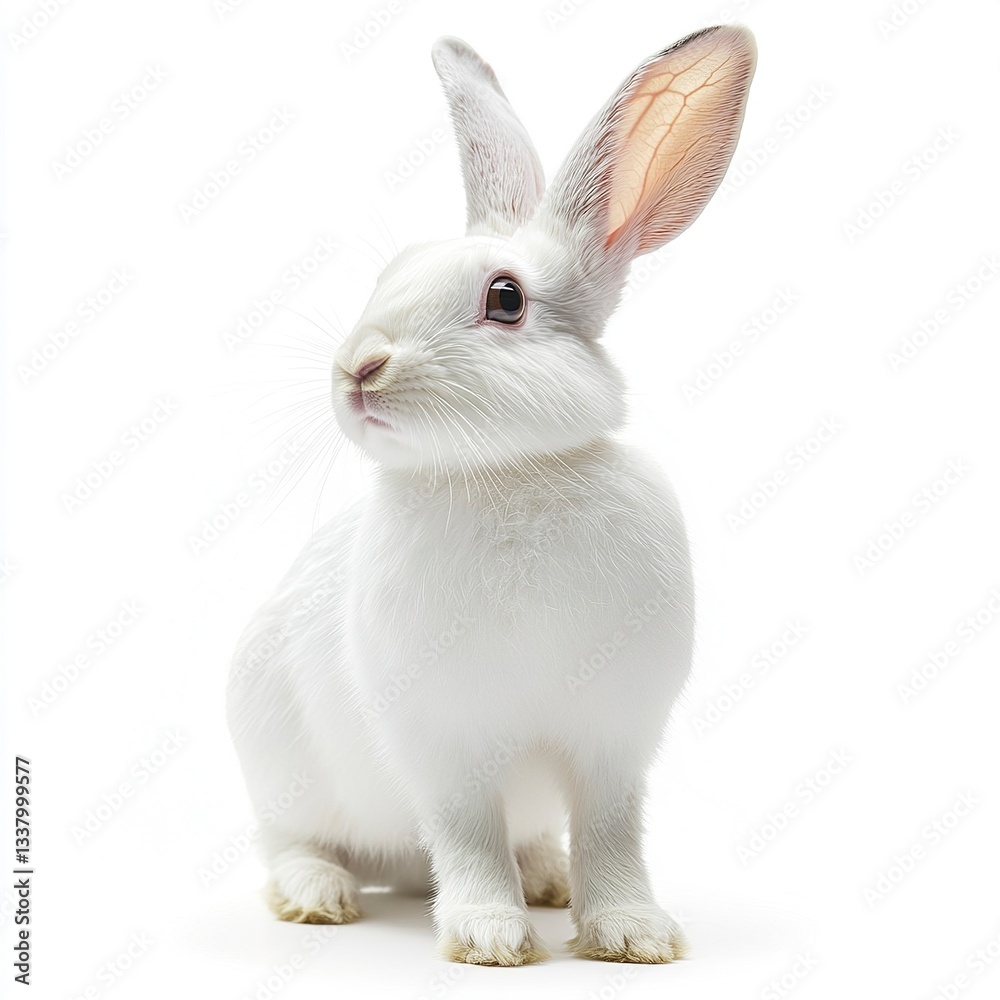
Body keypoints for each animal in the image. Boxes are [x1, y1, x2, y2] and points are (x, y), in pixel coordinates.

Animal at [227, 24, 756, 966]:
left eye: (505, 299)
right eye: (391, 272)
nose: (357, 367)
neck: (511, 474)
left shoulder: (615, 739)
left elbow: (613, 835)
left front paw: (633, 933)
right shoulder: (445, 742)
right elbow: (468, 833)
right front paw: (488, 936)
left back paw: (544, 875)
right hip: (275, 756)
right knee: (291, 841)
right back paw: (320, 895)